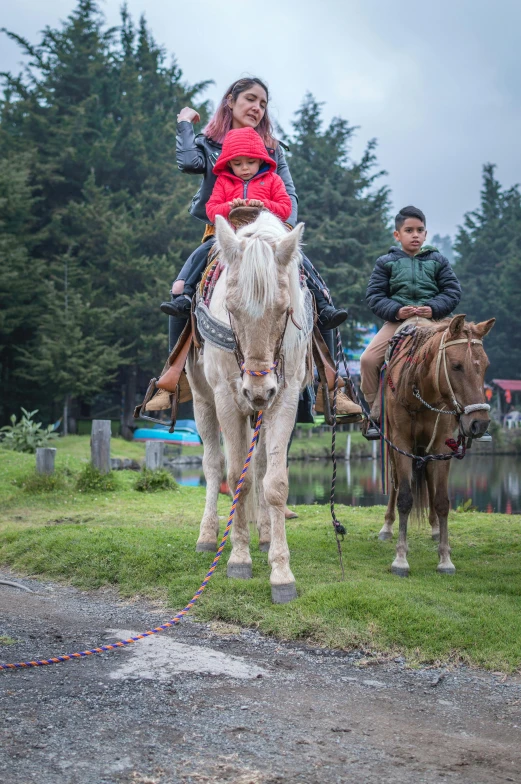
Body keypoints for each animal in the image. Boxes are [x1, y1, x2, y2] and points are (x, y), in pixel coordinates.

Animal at [185, 211, 310, 604]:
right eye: (231, 309)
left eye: (284, 310)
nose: (257, 389)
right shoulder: (227, 398)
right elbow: (234, 476)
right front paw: (238, 559)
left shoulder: (284, 398)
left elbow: (275, 482)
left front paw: (281, 572)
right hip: (202, 400)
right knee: (213, 465)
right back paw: (207, 536)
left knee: (260, 468)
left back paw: (266, 533)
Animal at [376, 312, 494, 576]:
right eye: (456, 365)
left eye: (486, 366)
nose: (479, 423)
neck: (419, 391)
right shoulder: (401, 443)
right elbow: (405, 498)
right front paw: (400, 558)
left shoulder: (442, 445)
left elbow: (441, 500)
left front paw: (445, 558)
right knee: (396, 483)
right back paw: (387, 526)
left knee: (430, 484)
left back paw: (435, 529)